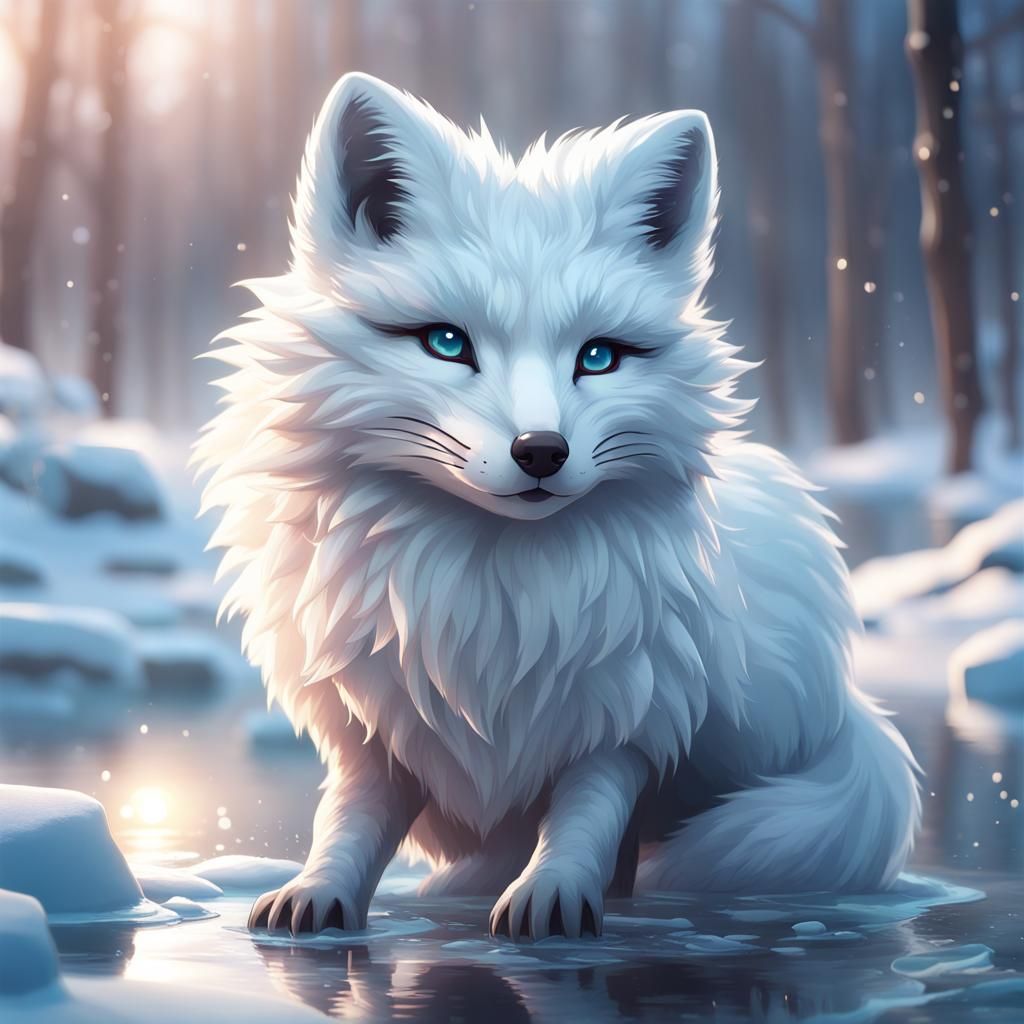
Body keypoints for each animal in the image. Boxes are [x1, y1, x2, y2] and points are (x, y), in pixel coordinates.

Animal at [195, 72, 920, 940]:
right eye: (446, 343)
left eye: (599, 357)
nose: (542, 450)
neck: (488, 590)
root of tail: (849, 706)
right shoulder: (380, 723)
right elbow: (351, 817)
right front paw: (319, 892)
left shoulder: (628, 717)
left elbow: (586, 816)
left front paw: (554, 896)